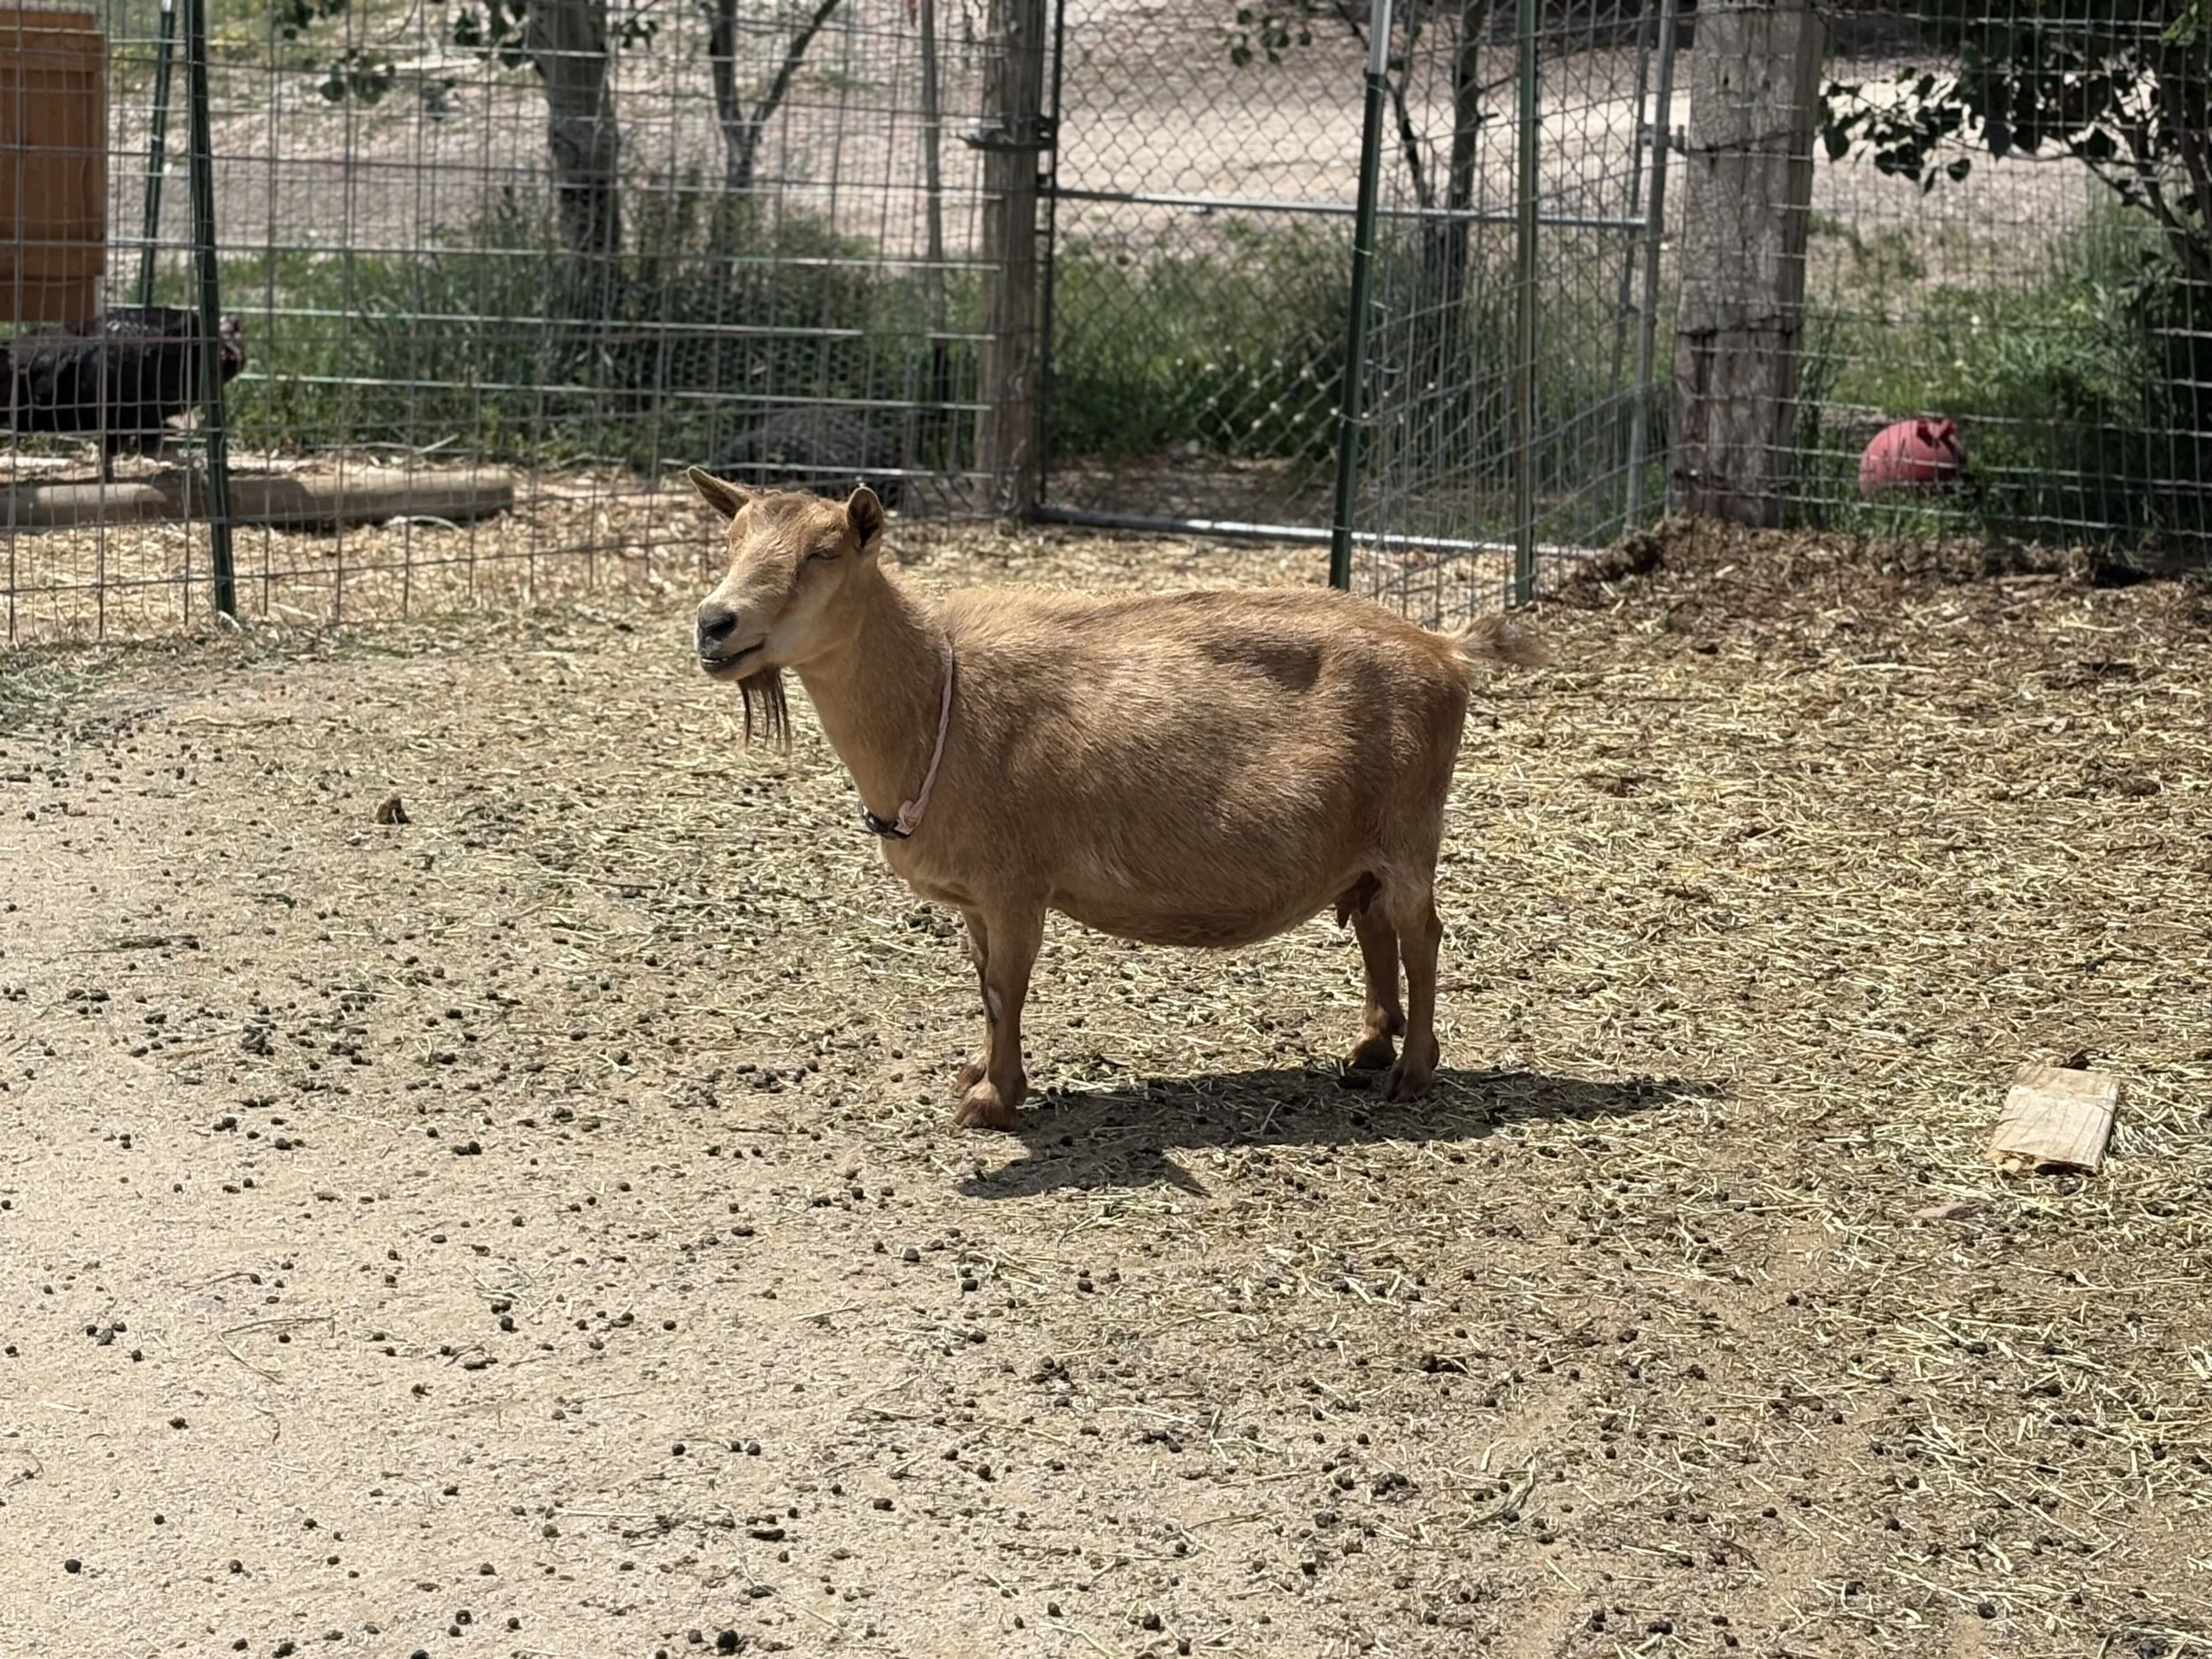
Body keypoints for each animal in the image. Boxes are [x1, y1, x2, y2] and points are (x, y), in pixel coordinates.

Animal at [688, 473, 1546, 1128]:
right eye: (731, 541)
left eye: (824, 551)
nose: (715, 624)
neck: (939, 698)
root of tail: (1445, 649)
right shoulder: (975, 898)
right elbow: (985, 987)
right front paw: (979, 1073)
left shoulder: (1017, 885)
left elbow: (1006, 986)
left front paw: (992, 1101)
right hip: (1364, 840)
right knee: (1375, 927)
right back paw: (1370, 1048)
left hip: (1409, 829)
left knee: (1421, 933)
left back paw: (1413, 1072)